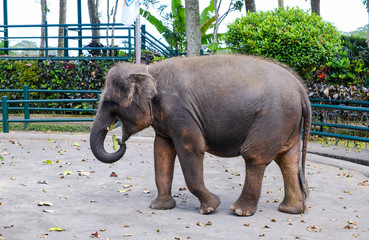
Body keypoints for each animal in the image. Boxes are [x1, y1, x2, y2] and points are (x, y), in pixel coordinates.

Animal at [89, 54, 310, 216]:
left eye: (110, 103)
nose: (119, 141)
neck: (147, 70)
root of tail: (301, 88)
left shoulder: (179, 110)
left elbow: (191, 147)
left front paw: (211, 207)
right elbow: (162, 150)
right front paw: (159, 207)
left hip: (274, 118)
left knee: (255, 156)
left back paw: (239, 211)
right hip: (287, 123)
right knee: (288, 160)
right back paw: (290, 210)